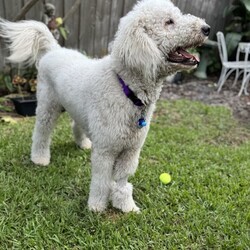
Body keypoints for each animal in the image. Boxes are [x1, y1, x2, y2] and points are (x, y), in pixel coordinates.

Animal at [0, 0, 210, 213]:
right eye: (169, 22)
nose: (206, 28)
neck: (126, 88)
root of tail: (54, 49)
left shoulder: (130, 150)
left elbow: (122, 180)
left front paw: (125, 205)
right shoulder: (106, 150)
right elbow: (101, 180)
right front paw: (96, 207)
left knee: (76, 124)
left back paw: (82, 143)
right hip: (47, 106)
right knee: (41, 132)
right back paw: (40, 158)